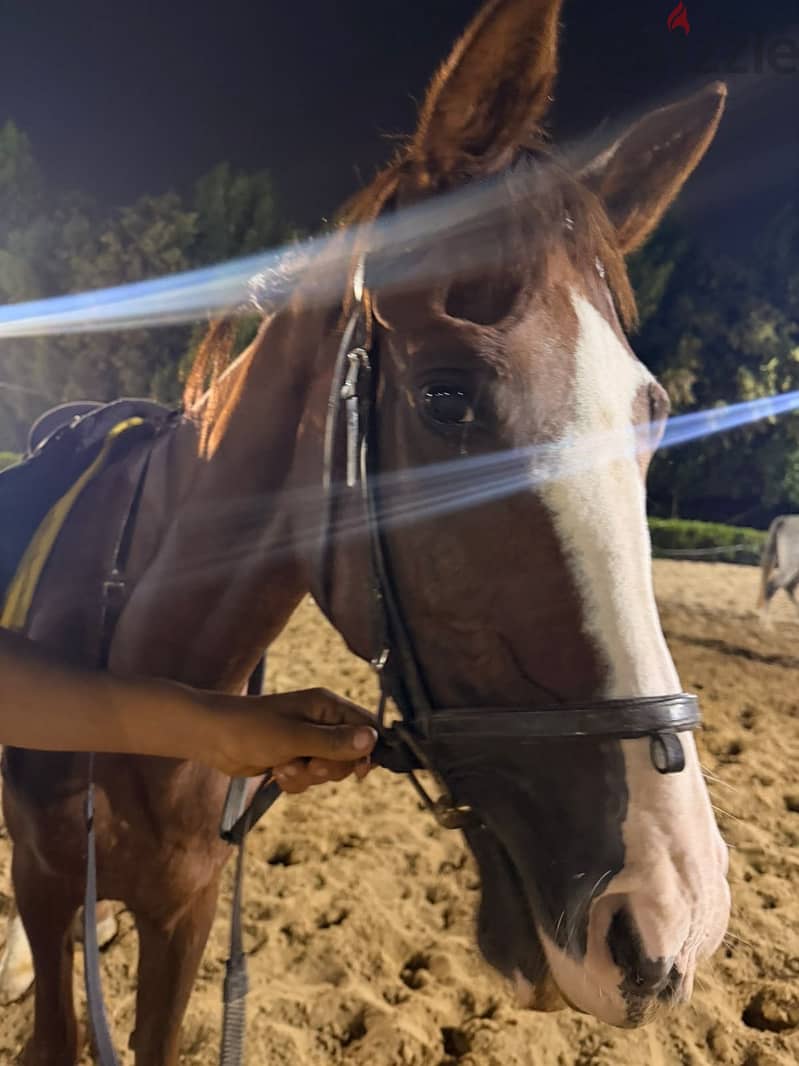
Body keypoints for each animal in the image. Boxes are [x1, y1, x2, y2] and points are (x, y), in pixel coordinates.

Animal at [1, 1, 731, 1062]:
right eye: (445, 396)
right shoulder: (51, 890)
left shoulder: (183, 911)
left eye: (653, 414)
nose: (671, 914)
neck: (134, 684)